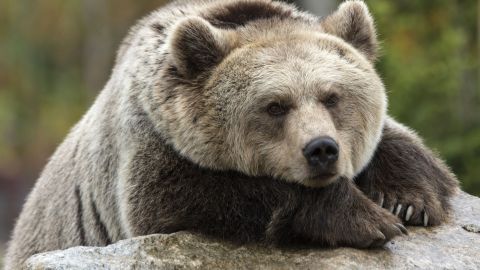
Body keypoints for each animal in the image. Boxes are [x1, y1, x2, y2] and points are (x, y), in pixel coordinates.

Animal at [5, 1, 460, 268]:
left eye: (332, 97)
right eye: (275, 106)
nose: (321, 149)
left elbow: (409, 148)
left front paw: (407, 201)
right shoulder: (150, 139)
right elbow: (183, 198)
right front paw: (368, 219)